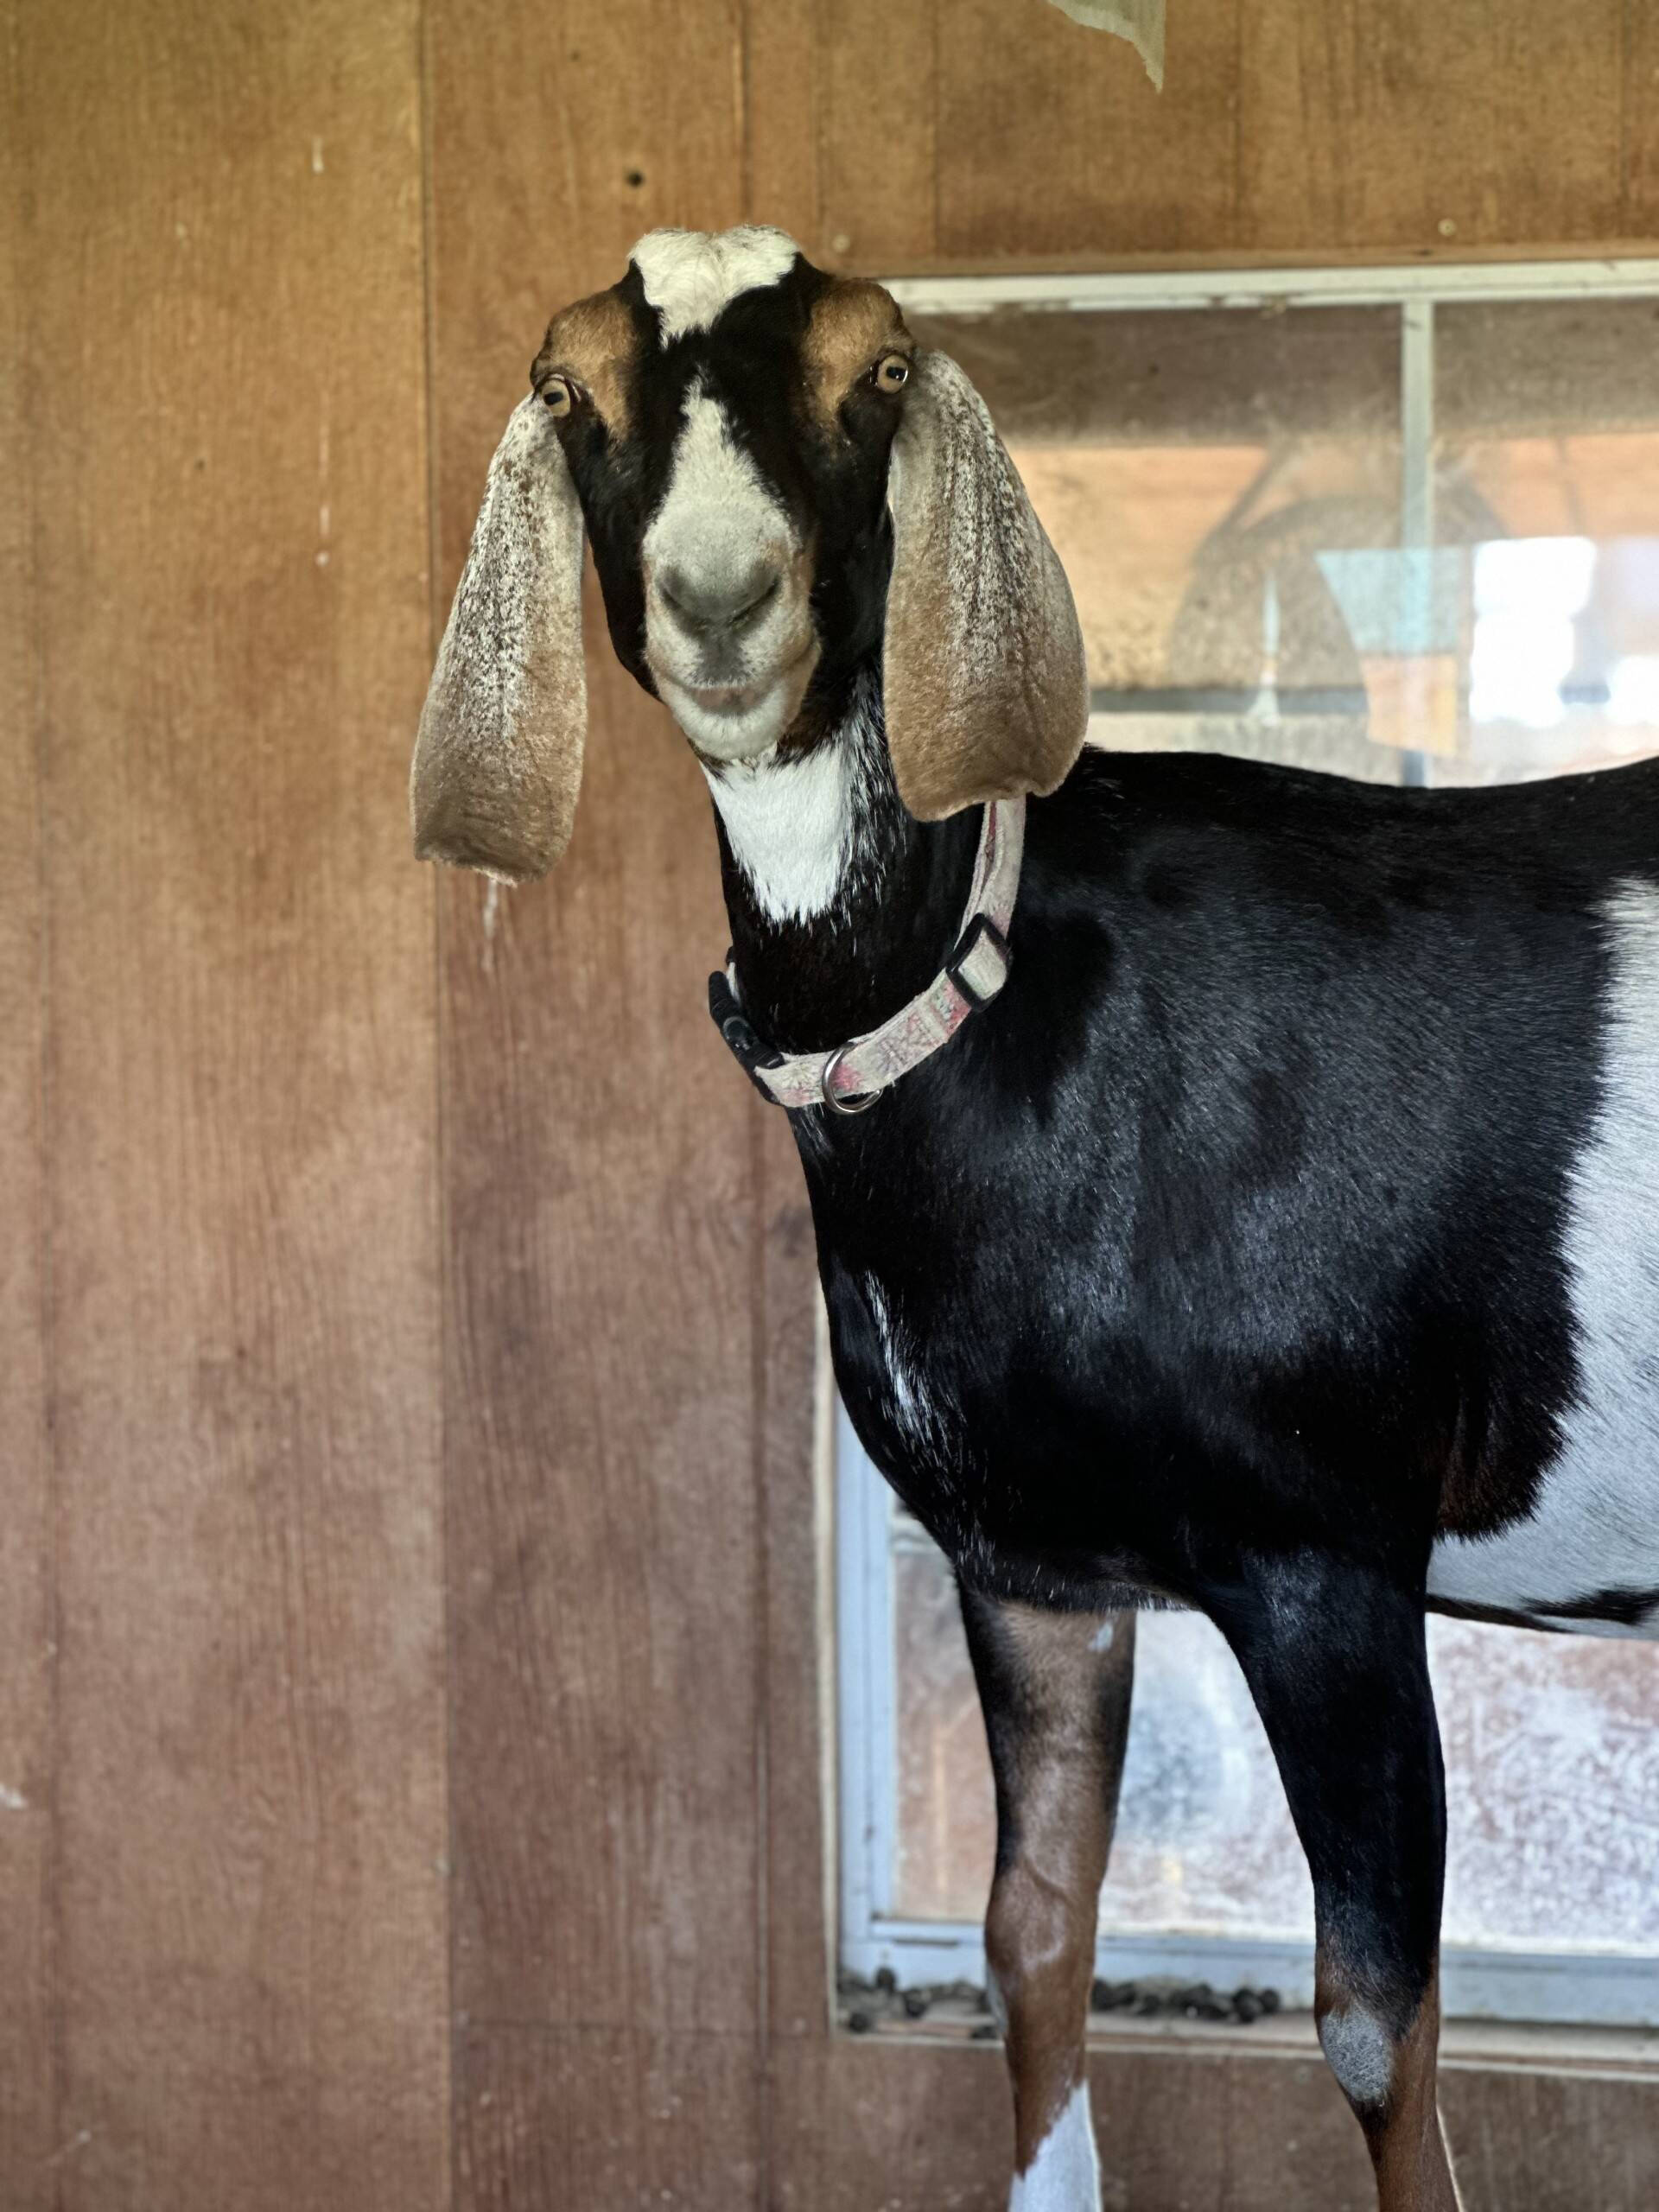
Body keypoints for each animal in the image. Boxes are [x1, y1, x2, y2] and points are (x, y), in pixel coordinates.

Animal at [412, 225, 1659, 2212]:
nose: (720, 597)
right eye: (570, 387)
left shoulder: (1328, 1559)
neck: (983, 991)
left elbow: (1375, 2023)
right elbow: (1033, 1936)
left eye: (875, 371)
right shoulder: (1027, 1568)